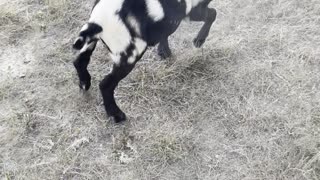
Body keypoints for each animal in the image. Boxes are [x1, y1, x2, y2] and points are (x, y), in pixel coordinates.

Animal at [73, 0, 218, 122]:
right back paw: (116, 114)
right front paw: (200, 39)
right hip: (130, 56)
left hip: (90, 42)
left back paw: (84, 83)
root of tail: (97, 23)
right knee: (106, 85)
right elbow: (212, 14)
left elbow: (164, 32)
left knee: (80, 61)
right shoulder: (194, 10)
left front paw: (164, 50)